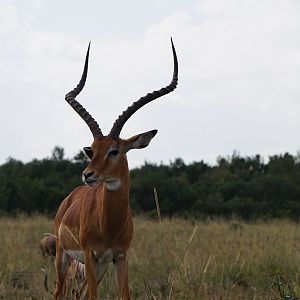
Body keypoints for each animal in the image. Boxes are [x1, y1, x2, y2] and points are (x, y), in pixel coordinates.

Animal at [53, 39, 178, 300]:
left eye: (114, 150)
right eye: (92, 149)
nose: (88, 174)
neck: (108, 224)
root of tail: (69, 198)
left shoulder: (120, 257)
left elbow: (123, 294)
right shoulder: (90, 255)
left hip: (99, 265)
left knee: (78, 294)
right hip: (64, 256)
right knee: (59, 291)